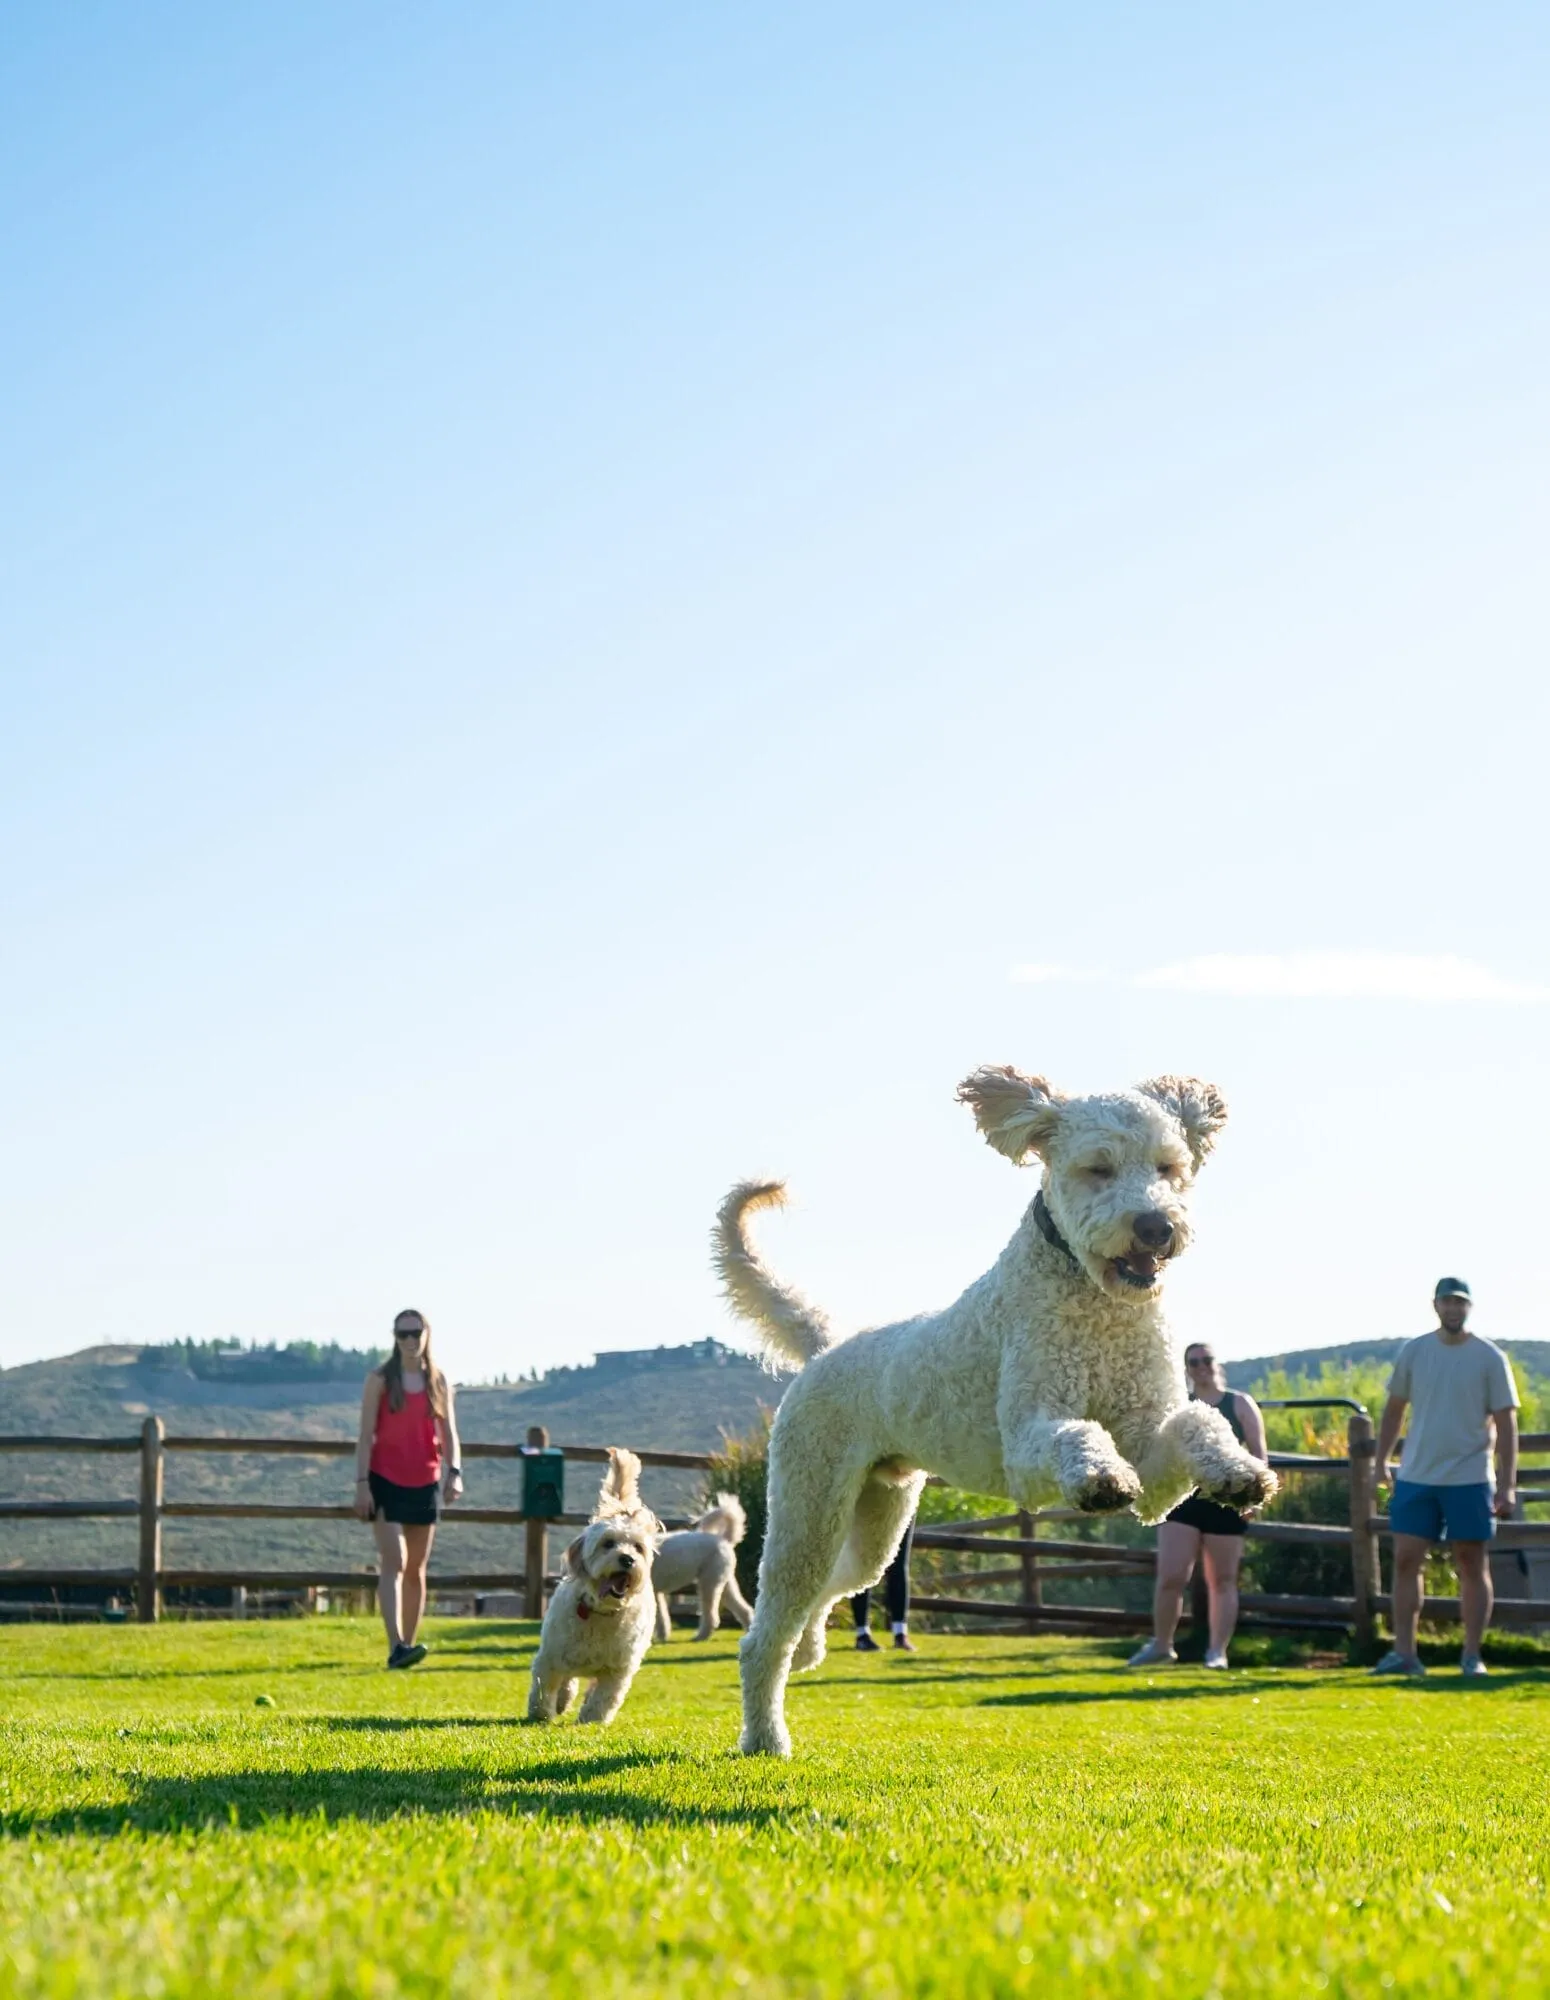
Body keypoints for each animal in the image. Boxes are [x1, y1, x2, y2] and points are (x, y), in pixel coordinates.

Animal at [528, 1448, 660, 1728]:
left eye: (638, 1547)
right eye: (607, 1543)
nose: (627, 1559)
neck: (601, 1612)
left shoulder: (618, 1669)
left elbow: (605, 1696)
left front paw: (591, 1718)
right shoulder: (552, 1656)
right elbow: (545, 1685)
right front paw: (540, 1713)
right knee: (567, 1681)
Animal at [652, 1504, 756, 1640]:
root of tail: (724, 1539)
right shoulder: (655, 1592)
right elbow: (660, 1616)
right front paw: (662, 1635)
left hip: (708, 1584)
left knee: (711, 1616)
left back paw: (700, 1636)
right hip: (724, 1584)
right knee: (743, 1609)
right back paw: (749, 1632)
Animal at [716, 1064, 1272, 1752]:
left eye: (1169, 1166)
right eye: (1098, 1168)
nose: (1155, 1227)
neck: (1098, 1308)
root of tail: (828, 1344)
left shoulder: (1153, 1451)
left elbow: (1198, 1421)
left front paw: (1238, 1471)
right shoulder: (1027, 1448)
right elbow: (1075, 1435)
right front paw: (1099, 1475)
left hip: (875, 1526)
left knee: (829, 1593)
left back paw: (810, 1651)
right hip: (808, 1508)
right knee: (762, 1636)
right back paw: (766, 1737)